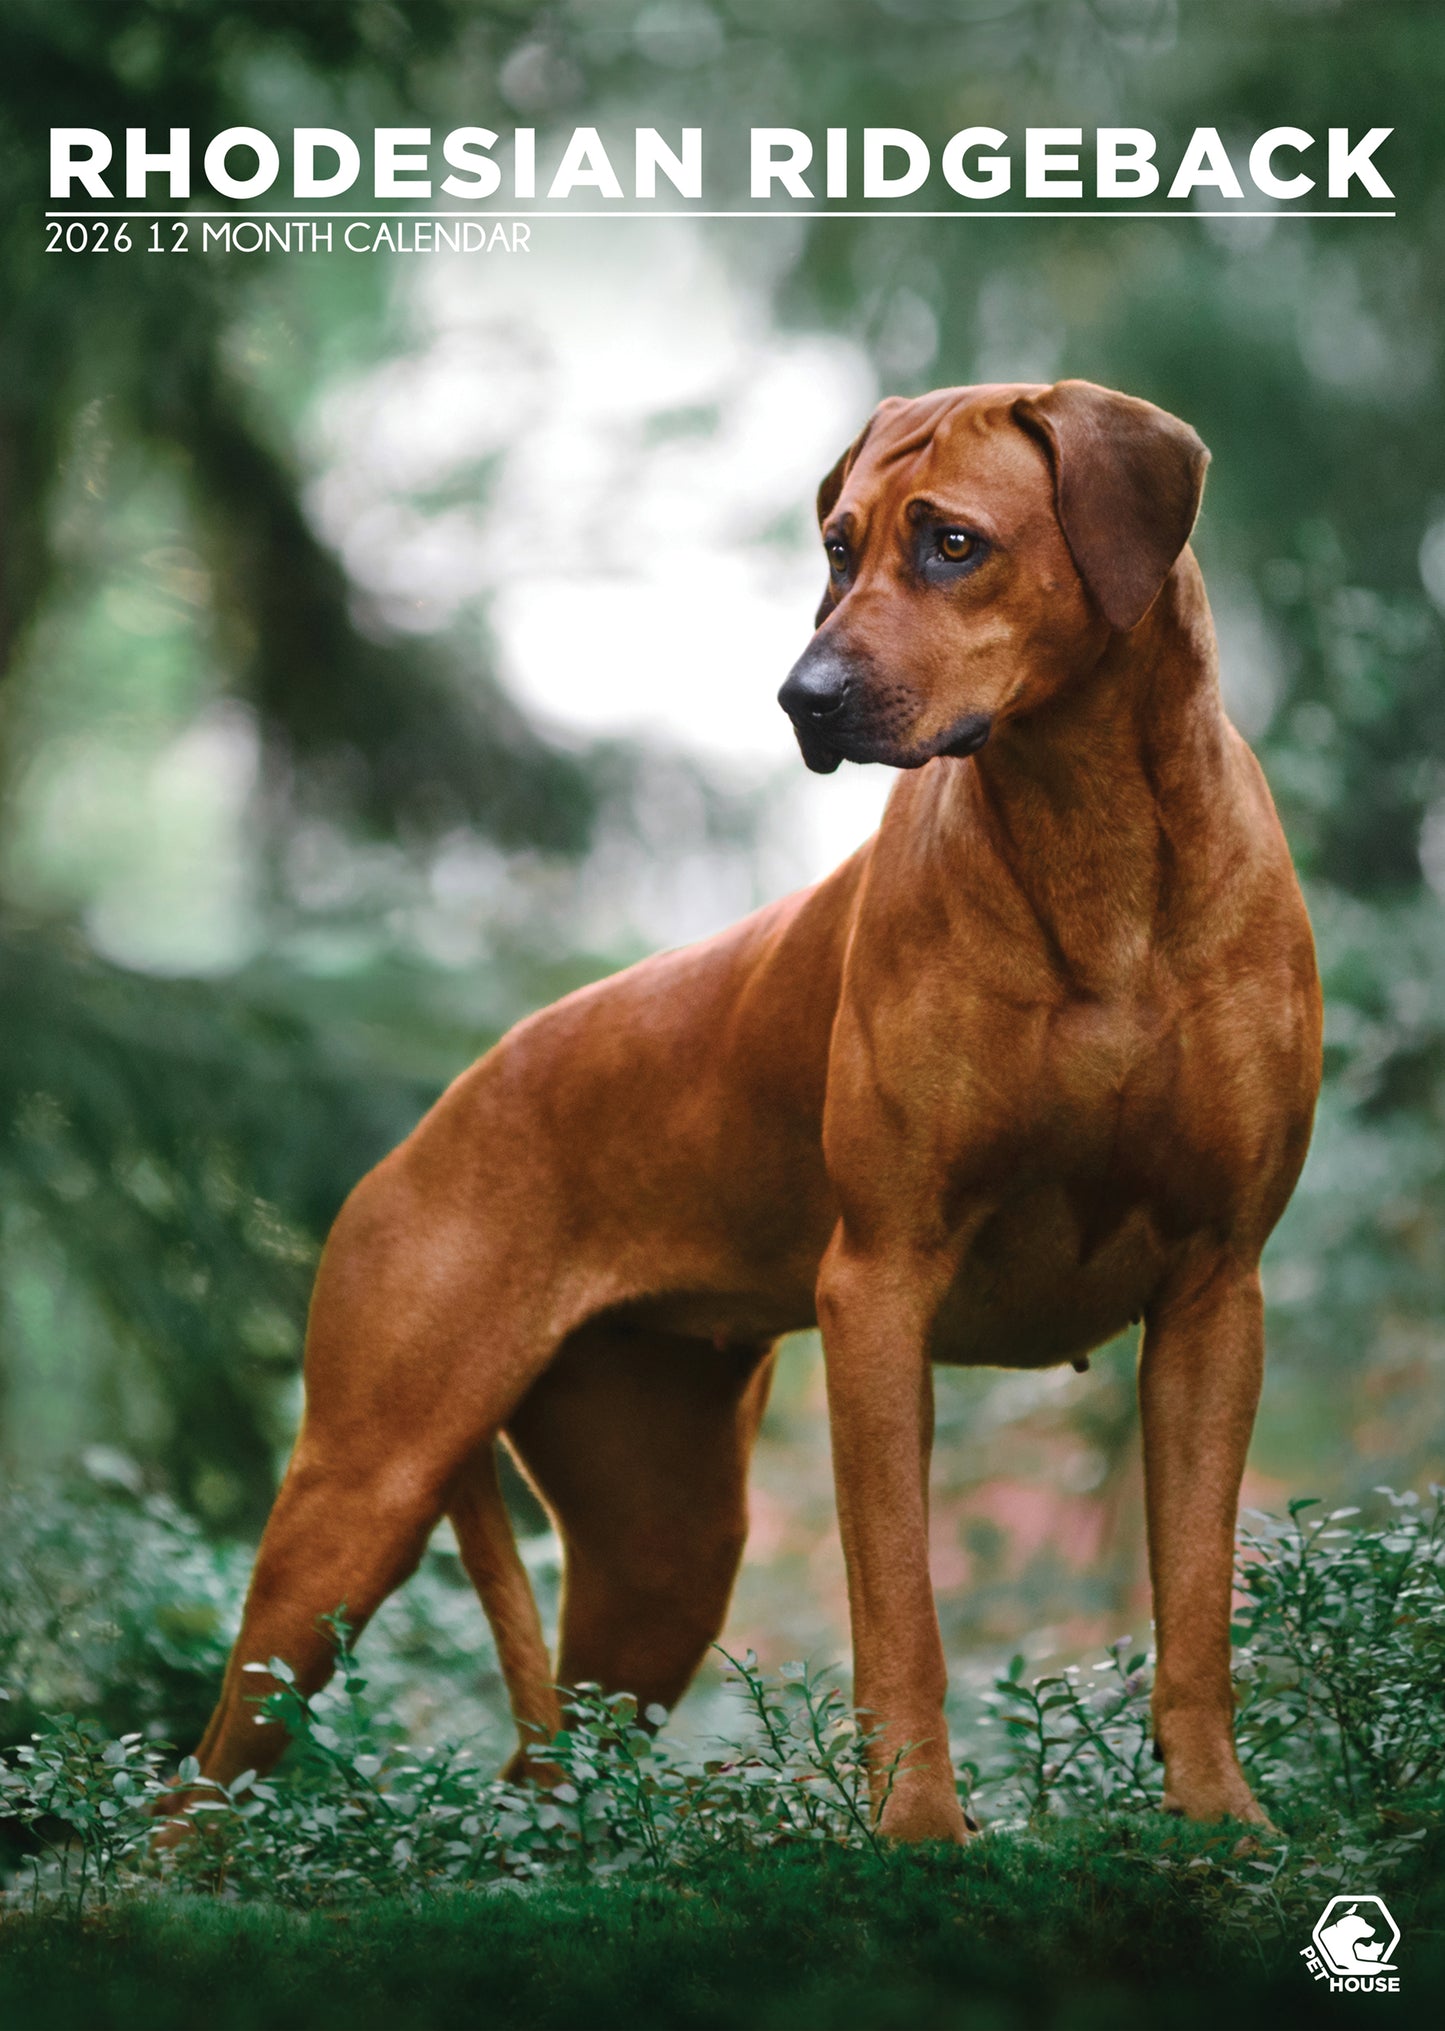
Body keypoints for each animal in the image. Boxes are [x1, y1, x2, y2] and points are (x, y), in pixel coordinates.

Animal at [169, 377, 1325, 1844]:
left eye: (952, 543)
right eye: (836, 546)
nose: (799, 698)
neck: (1093, 833)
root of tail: (423, 1130)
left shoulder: (1213, 1292)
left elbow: (1193, 1605)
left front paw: (1219, 1822)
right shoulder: (880, 1287)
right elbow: (899, 1614)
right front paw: (919, 1836)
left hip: (661, 1543)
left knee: (544, 1769)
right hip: (356, 1494)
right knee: (192, 1790)